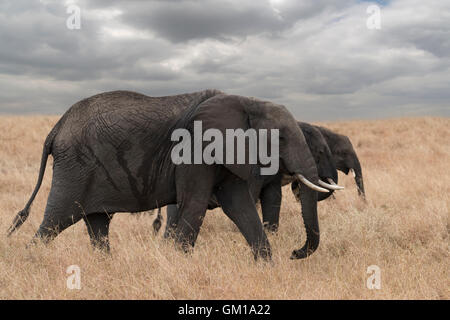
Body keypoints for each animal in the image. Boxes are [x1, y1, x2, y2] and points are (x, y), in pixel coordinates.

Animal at [7, 89, 330, 260]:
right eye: (281, 139)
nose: (295, 253)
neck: (245, 101)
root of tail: (56, 128)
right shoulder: (195, 149)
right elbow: (194, 205)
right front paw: (179, 262)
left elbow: (239, 206)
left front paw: (266, 265)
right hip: (74, 167)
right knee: (55, 220)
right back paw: (31, 261)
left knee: (97, 223)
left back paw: (104, 264)